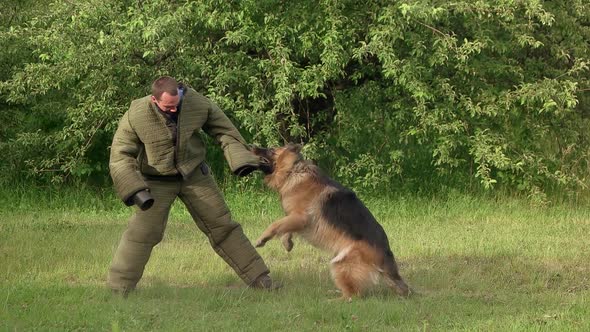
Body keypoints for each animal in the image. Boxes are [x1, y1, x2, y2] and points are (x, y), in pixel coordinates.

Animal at [253, 144, 412, 300]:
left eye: (271, 150)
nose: (252, 147)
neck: (293, 170)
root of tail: (386, 259)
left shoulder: (300, 217)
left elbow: (276, 224)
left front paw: (262, 238)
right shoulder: (294, 218)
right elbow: (285, 228)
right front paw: (287, 242)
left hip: (340, 265)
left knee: (353, 295)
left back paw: (332, 300)